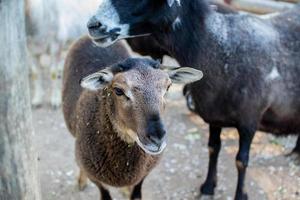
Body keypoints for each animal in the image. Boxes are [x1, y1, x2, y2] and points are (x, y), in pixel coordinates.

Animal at [62, 36, 203, 200]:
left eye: (168, 87)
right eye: (118, 90)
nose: (157, 138)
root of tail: (87, 37)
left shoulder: (143, 175)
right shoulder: (96, 178)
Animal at [86, 0, 300, 199]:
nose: (93, 25)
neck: (223, 47)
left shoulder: (250, 119)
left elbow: (241, 161)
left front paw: (240, 195)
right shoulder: (215, 116)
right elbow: (213, 148)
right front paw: (208, 187)